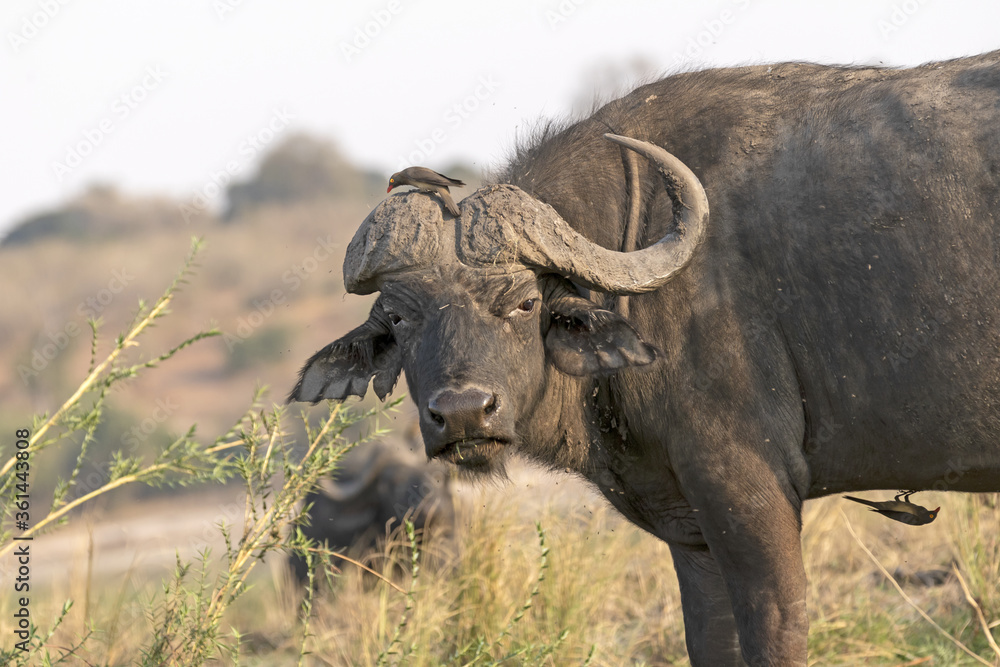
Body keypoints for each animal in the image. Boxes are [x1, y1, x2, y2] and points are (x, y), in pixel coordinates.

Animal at [290, 52, 1000, 667]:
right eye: (399, 318)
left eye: (524, 301)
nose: (463, 414)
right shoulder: (692, 532)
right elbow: (710, 643)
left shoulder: (747, 490)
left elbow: (775, 632)